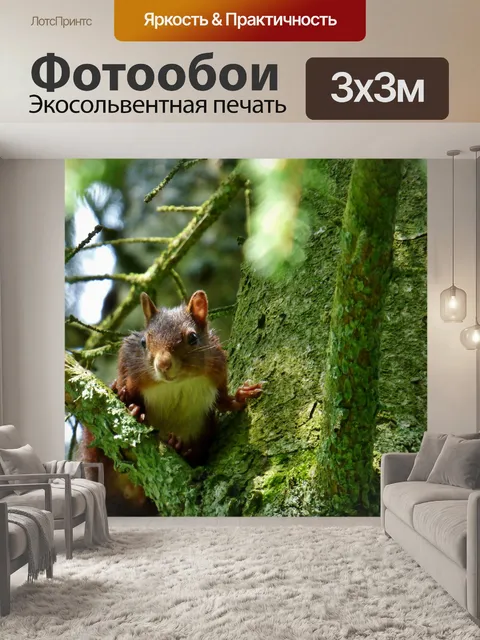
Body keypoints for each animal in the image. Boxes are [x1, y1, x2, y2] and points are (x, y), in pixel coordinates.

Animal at [110, 290, 263, 466]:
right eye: (143, 342)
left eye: (193, 338)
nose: (163, 364)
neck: (179, 382)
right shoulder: (132, 367)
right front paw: (130, 402)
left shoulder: (218, 372)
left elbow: (223, 402)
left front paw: (243, 394)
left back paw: (179, 447)